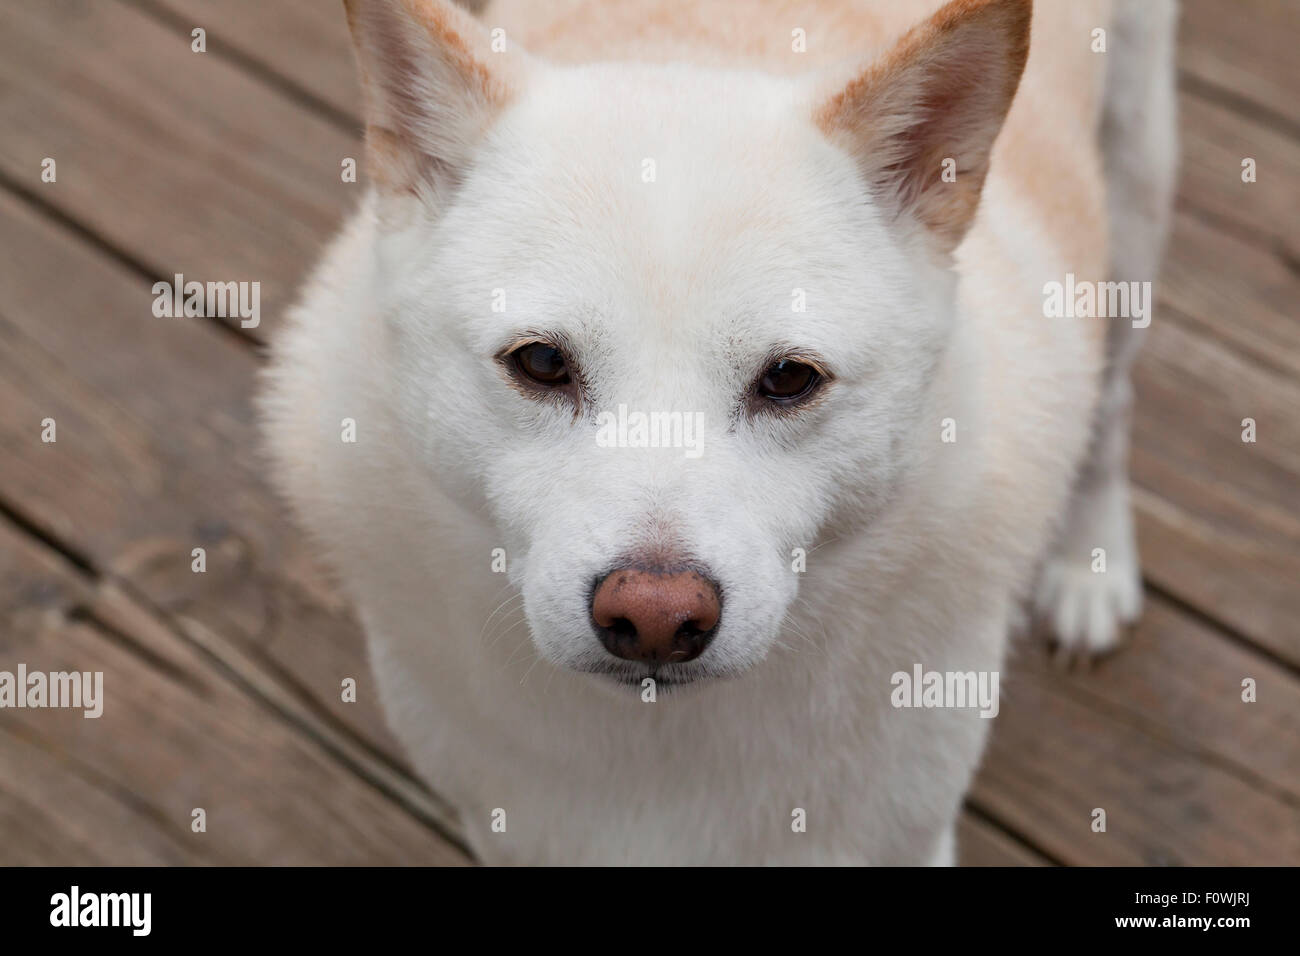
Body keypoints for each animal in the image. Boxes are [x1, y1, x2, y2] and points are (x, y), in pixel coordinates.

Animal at [258, 0, 1175, 868]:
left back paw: (1091, 572)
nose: (656, 617)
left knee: (1116, 407)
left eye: (789, 379)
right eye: (543, 363)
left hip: (1131, 224)